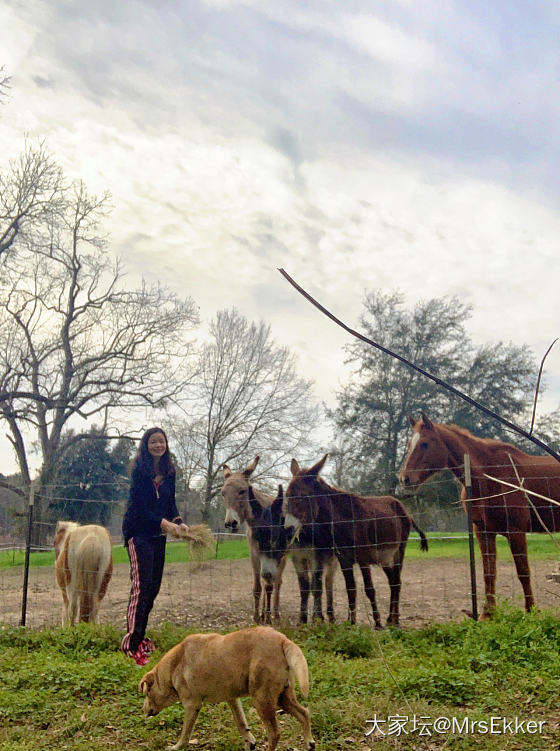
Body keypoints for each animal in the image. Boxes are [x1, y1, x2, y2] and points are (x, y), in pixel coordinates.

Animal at [138, 628, 316, 751]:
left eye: (146, 693)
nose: (143, 710)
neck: (173, 667)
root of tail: (282, 640)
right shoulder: (232, 699)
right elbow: (241, 723)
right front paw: (250, 742)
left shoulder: (191, 705)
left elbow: (185, 733)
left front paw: (177, 747)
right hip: (283, 696)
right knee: (304, 713)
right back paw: (310, 742)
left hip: (262, 700)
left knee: (274, 733)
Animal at [284, 456, 428, 624]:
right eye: (287, 496)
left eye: (301, 496)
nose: (287, 530)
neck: (345, 520)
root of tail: (402, 508)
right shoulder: (344, 560)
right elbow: (350, 588)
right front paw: (351, 622)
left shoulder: (363, 559)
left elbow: (369, 589)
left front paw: (377, 622)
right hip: (385, 558)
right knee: (392, 581)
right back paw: (390, 618)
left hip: (399, 551)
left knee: (397, 582)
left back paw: (395, 619)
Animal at [398, 414, 560, 620]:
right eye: (410, 444)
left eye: (425, 443)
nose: (405, 479)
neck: (488, 475)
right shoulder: (483, 532)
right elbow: (488, 573)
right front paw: (487, 614)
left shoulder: (515, 532)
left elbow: (523, 572)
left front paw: (531, 611)